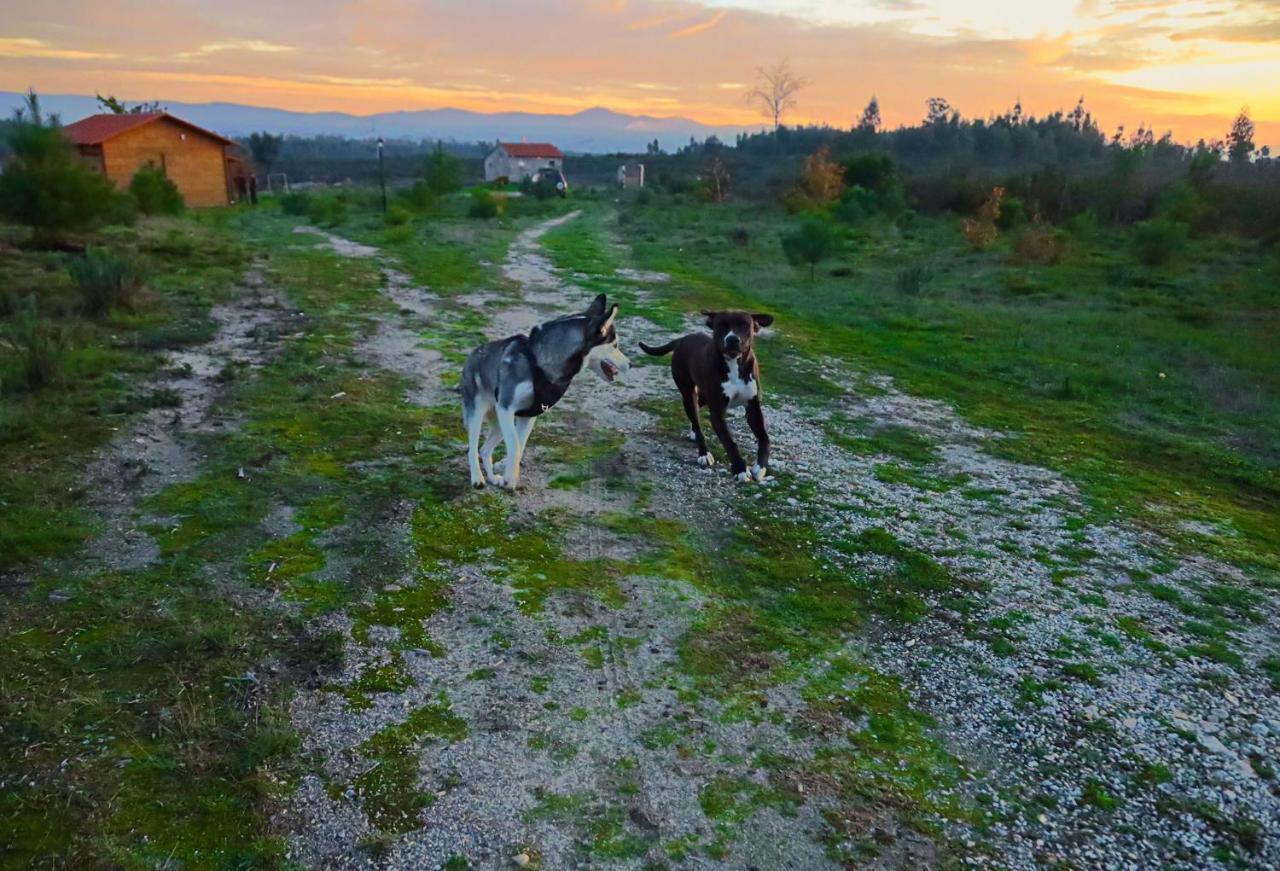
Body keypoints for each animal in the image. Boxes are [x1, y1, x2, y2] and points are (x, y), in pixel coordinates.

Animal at [463, 295, 627, 489]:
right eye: (615, 345)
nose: (630, 363)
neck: (539, 361)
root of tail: (473, 354)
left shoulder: (528, 414)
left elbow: (519, 446)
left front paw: (507, 474)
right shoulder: (506, 407)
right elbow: (515, 446)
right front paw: (510, 477)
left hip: (498, 423)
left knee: (484, 450)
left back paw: (493, 477)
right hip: (477, 413)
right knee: (473, 448)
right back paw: (477, 478)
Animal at [637, 309, 768, 484]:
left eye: (745, 325)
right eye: (721, 325)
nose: (732, 339)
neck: (733, 363)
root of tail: (682, 339)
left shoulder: (753, 407)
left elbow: (764, 437)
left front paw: (761, 466)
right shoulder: (717, 414)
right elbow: (730, 442)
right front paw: (740, 469)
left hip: (703, 396)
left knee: (697, 413)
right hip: (688, 394)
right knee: (695, 417)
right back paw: (703, 453)